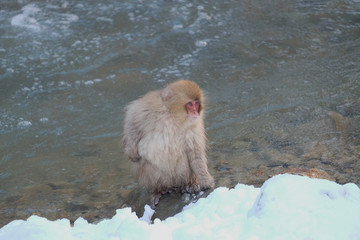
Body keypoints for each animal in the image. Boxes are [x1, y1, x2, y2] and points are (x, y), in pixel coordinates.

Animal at [123, 79, 214, 207]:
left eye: (196, 103)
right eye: (190, 104)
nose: (195, 113)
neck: (172, 115)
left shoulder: (195, 125)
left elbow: (195, 152)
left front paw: (206, 181)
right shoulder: (147, 108)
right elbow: (132, 124)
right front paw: (132, 153)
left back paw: (189, 183)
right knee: (147, 164)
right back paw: (158, 190)